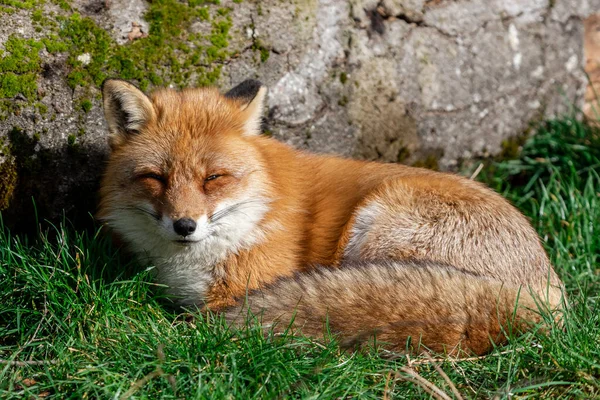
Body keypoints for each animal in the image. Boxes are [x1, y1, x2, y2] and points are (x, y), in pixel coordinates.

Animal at [97, 79, 564, 356]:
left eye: (214, 178)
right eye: (155, 178)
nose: (185, 225)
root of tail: (545, 291)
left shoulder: (243, 287)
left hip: (377, 228)